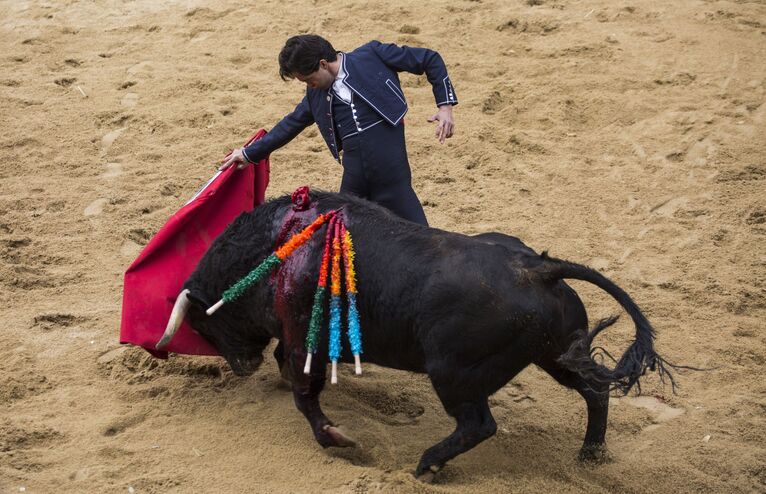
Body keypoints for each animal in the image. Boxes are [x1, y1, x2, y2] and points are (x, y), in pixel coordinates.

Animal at [158, 191, 680, 476]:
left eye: (207, 324)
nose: (240, 366)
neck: (276, 249)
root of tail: (538, 268)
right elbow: (291, 371)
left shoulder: (307, 339)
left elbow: (306, 396)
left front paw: (338, 440)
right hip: (556, 354)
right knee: (594, 389)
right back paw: (591, 453)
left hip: (452, 372)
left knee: (478, 424)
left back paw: (428, 464)